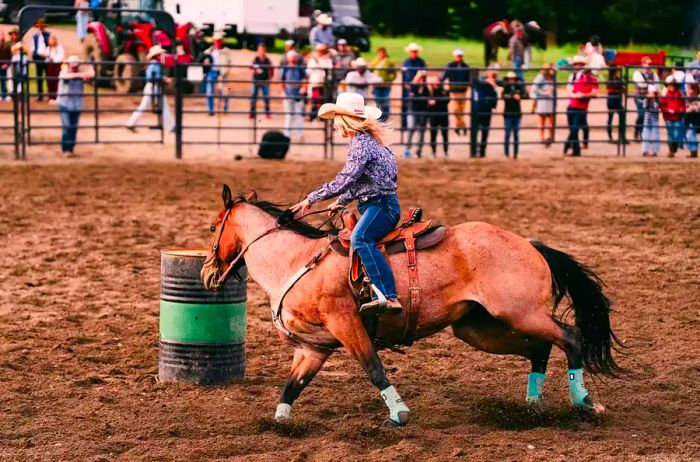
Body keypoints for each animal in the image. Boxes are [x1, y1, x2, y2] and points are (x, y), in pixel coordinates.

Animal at [200, 186, 620, 428]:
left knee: (570, 337)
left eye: (212, 228)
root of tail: (530, 244)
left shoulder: (346, 323)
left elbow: (373, 369)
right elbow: (292, 386)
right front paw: (278, 423)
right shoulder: (312, 348)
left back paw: (584, 402)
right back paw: (532, 404)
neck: (295, 260)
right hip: (479, 328)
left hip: (519, 313)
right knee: (541, 347)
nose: (206, 273)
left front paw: (398, 414)